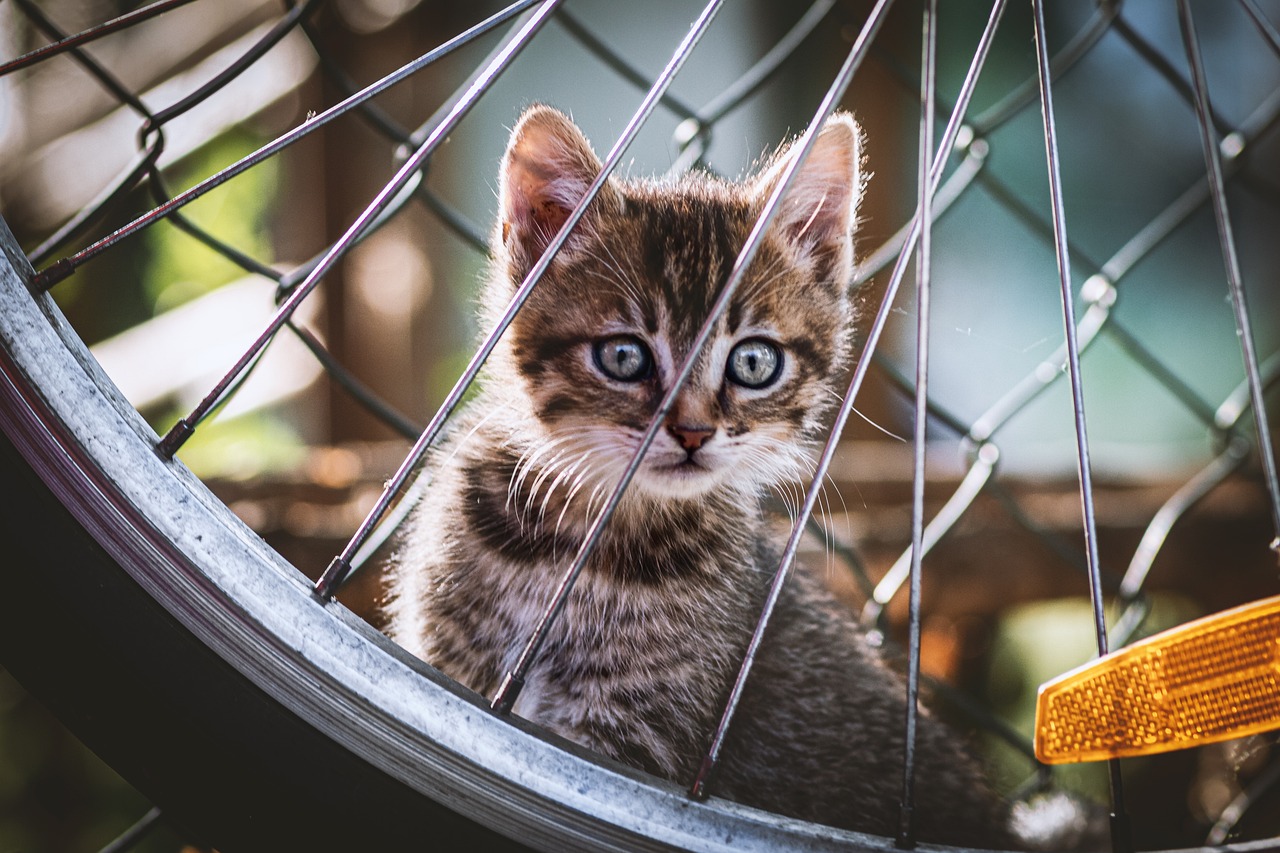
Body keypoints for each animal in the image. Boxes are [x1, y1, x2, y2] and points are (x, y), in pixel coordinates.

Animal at [384, 106, 1013, 845]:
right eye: (624, 355)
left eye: (753, 363)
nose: (691, 432)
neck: (576, 550)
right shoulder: (448, 670)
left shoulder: (626, 739)